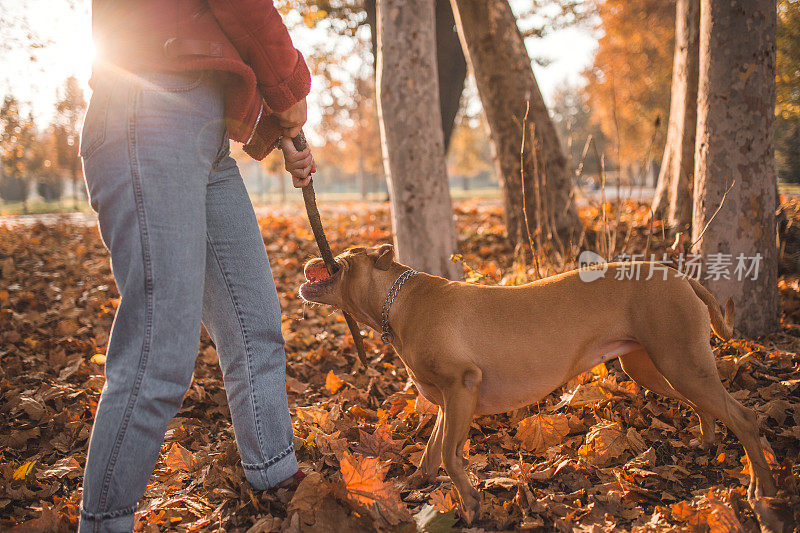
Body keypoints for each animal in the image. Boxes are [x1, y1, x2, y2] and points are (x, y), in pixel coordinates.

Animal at [298, 243, 776, 520]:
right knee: (705, 406)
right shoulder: (449, 402)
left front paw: (470, 502)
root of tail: (681, 276)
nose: (310, 255)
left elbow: (451, 455)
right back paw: (709, 440)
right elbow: (433, 451)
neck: (396, 300)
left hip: (680, 361)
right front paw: (413, 486)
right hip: (652, 366)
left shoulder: (462, 386)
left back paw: (761, 489)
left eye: (340, 256)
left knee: (744, 416)